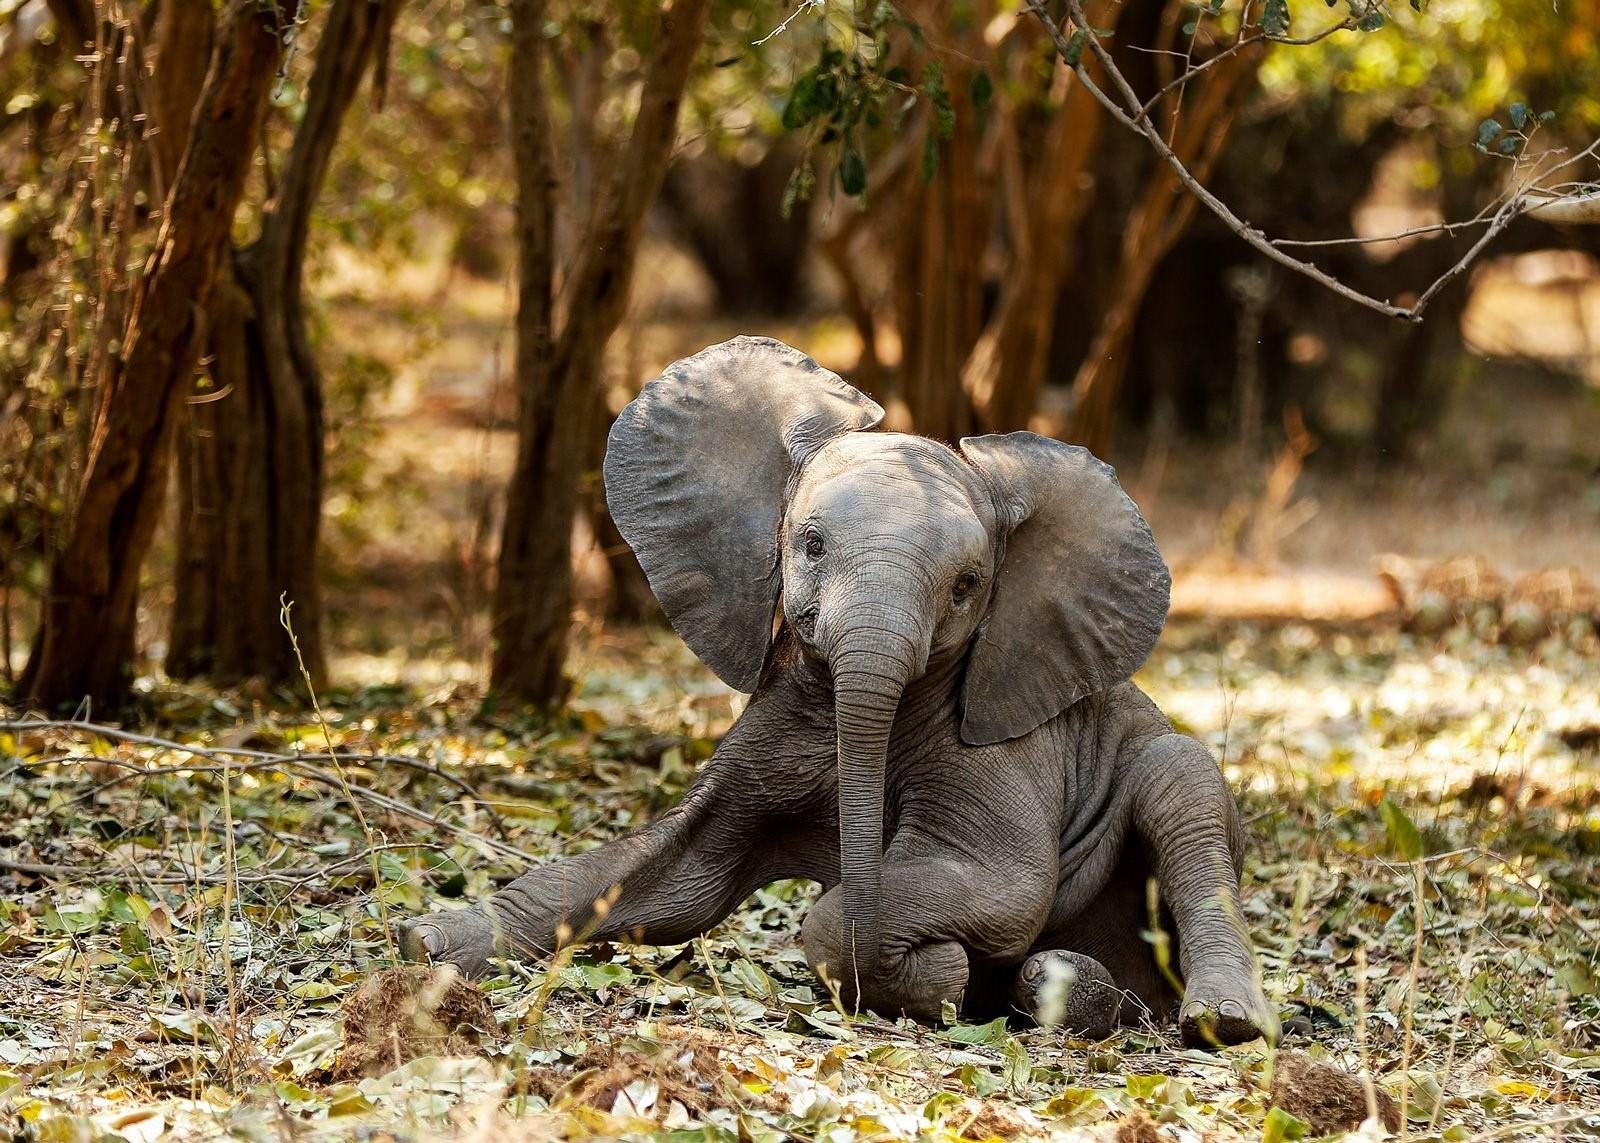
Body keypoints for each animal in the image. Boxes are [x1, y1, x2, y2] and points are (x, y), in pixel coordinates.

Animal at [409, 334, 1273, 1043]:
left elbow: (995, 885)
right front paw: (429, 942)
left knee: (1181, 785)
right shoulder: (776, 714)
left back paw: (1206, 1016)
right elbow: (674, 873)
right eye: (812, 544)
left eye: (967, 586)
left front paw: (940, 976)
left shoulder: (1007, 748)